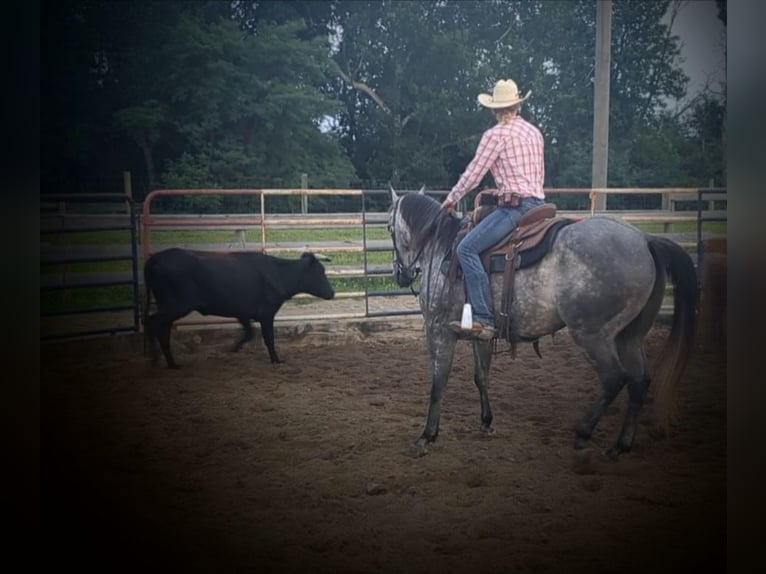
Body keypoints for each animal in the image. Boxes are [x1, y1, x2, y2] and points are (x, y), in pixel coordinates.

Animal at [144, 249, 336, 368]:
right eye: (320, 272)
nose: (332, 292)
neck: (278, 273)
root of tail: (156, 258)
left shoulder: (242, 312)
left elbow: (248, 333)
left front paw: (233, 348)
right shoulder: (267, 313)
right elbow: (269, 338)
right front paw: (276, 360)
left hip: (170, 308)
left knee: (163, 330)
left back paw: (170, 363)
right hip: (175, 306)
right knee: (152, 322)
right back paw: (154, 359)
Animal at [388, 189, 700, 460]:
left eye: (390, 229)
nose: (401, 274)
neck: (441, 247)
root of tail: (645, 240)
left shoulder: (437, 329)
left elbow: (438, 382)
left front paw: (426, 436)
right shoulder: (479, 334)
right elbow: (481, 377)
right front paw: (486, 423)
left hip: (592, 335)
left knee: (615, 379)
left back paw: (583, 433)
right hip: (629, 336)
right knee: (639, 382)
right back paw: (619, 446)